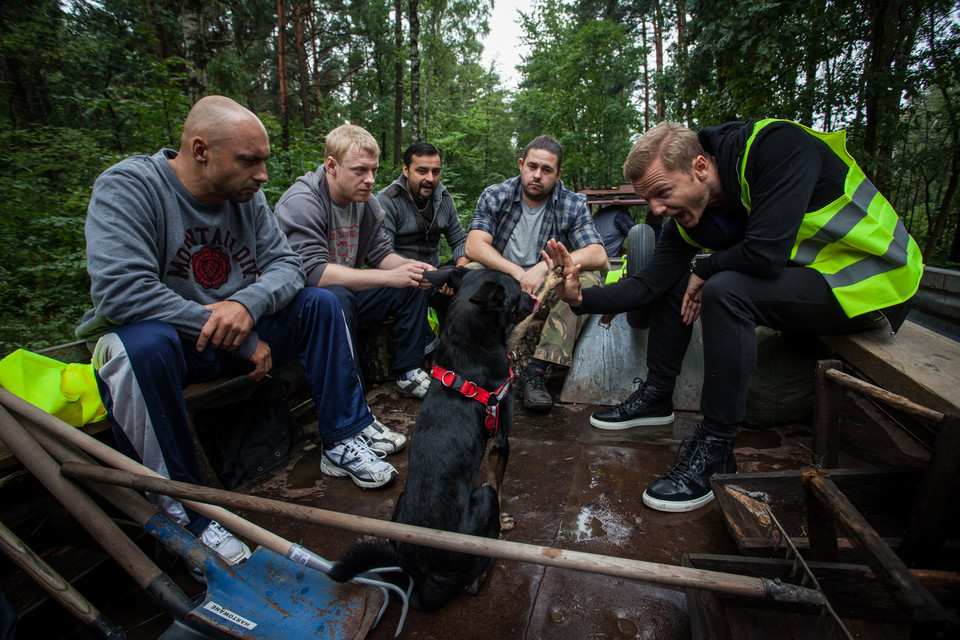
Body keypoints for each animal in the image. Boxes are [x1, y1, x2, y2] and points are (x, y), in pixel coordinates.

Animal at [330, 264, 536, 608]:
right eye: (518, 290)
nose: (533, 299)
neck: (468, 348)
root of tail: (426, 580)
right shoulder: (500, 440)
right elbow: (497, 481)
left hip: (400, 505)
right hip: (480, 499)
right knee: (474, 579)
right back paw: (493, 544)